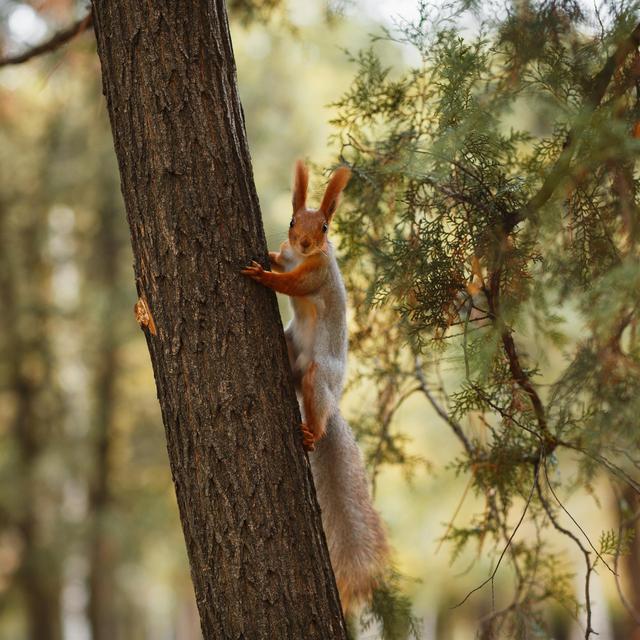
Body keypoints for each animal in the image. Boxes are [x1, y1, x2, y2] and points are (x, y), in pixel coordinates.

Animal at [241, 160, 388, 616]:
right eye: (292, 221)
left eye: (324, 227)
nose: (305, 242)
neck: (303, 257)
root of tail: (335, 400)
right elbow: (282, 262)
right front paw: (270, 258)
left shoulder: (315, 274)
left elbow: (292, 284)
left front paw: (261, 274)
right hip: (291, 346)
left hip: (319, 374)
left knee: (314, 401)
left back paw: (313, 431)